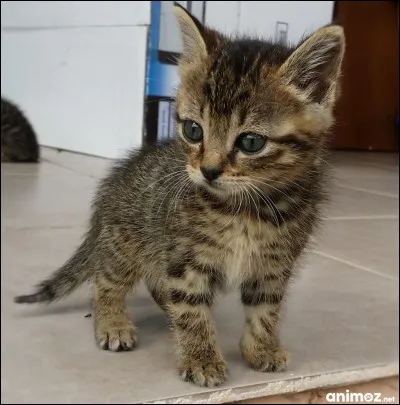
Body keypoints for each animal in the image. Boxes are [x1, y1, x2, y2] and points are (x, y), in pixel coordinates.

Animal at [14, 4, 344, 386]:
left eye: (251, 142)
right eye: (193, 130)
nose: (209, 170)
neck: (245, 210)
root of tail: (112, 185)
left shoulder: (273, 265)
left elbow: (266, 308)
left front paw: (261, 349)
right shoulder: (185, 258)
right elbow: (191, 309)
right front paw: (201, 358)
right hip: (125, 242)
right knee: (105, 279)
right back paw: (111, 321)